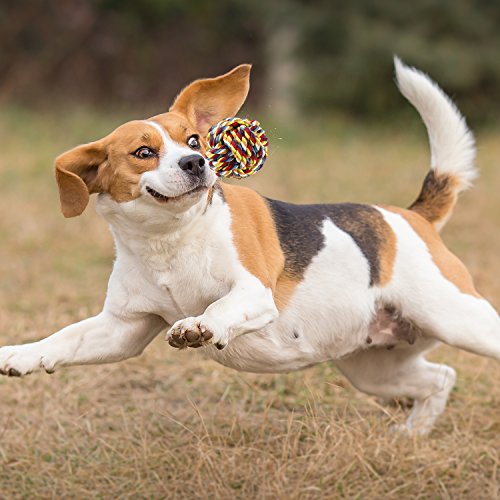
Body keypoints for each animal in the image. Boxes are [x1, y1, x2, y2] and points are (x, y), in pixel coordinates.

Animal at [0, 57, 500, 434]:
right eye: (144, 152)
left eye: (194, 140)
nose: (196, 162)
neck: (171, 240)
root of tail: (413, 215)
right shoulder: (124, 328)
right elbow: (67, 337)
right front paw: (21, 355)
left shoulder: (255, 294)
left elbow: (218, 308)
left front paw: (199, 326)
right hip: (375, 368)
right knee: (442, 378)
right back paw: (411, 435)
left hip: (458, 320)